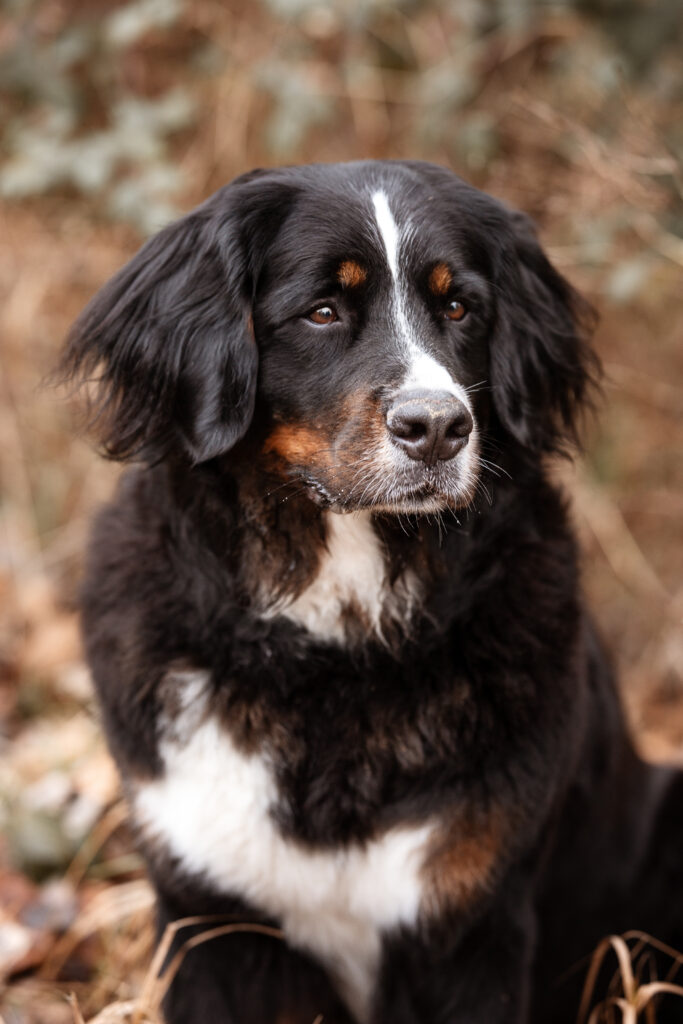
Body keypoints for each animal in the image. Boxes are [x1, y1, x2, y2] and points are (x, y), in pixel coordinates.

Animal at [62, 161, 683, 1024]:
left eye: (457, 306)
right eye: (322, 311)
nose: (438, 427)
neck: (333, 655)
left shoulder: (469, 920)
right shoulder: (213, 916)